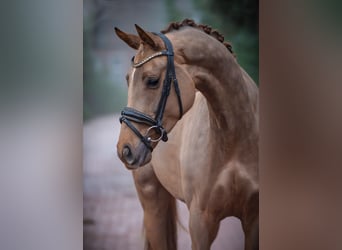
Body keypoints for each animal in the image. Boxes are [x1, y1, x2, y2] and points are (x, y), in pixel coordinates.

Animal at [115, 18, 260, 249]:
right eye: (128, 79)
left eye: (152, 80)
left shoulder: (253, 219)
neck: (235, 139)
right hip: (152, 201)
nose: (125, 149)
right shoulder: (201, 222)